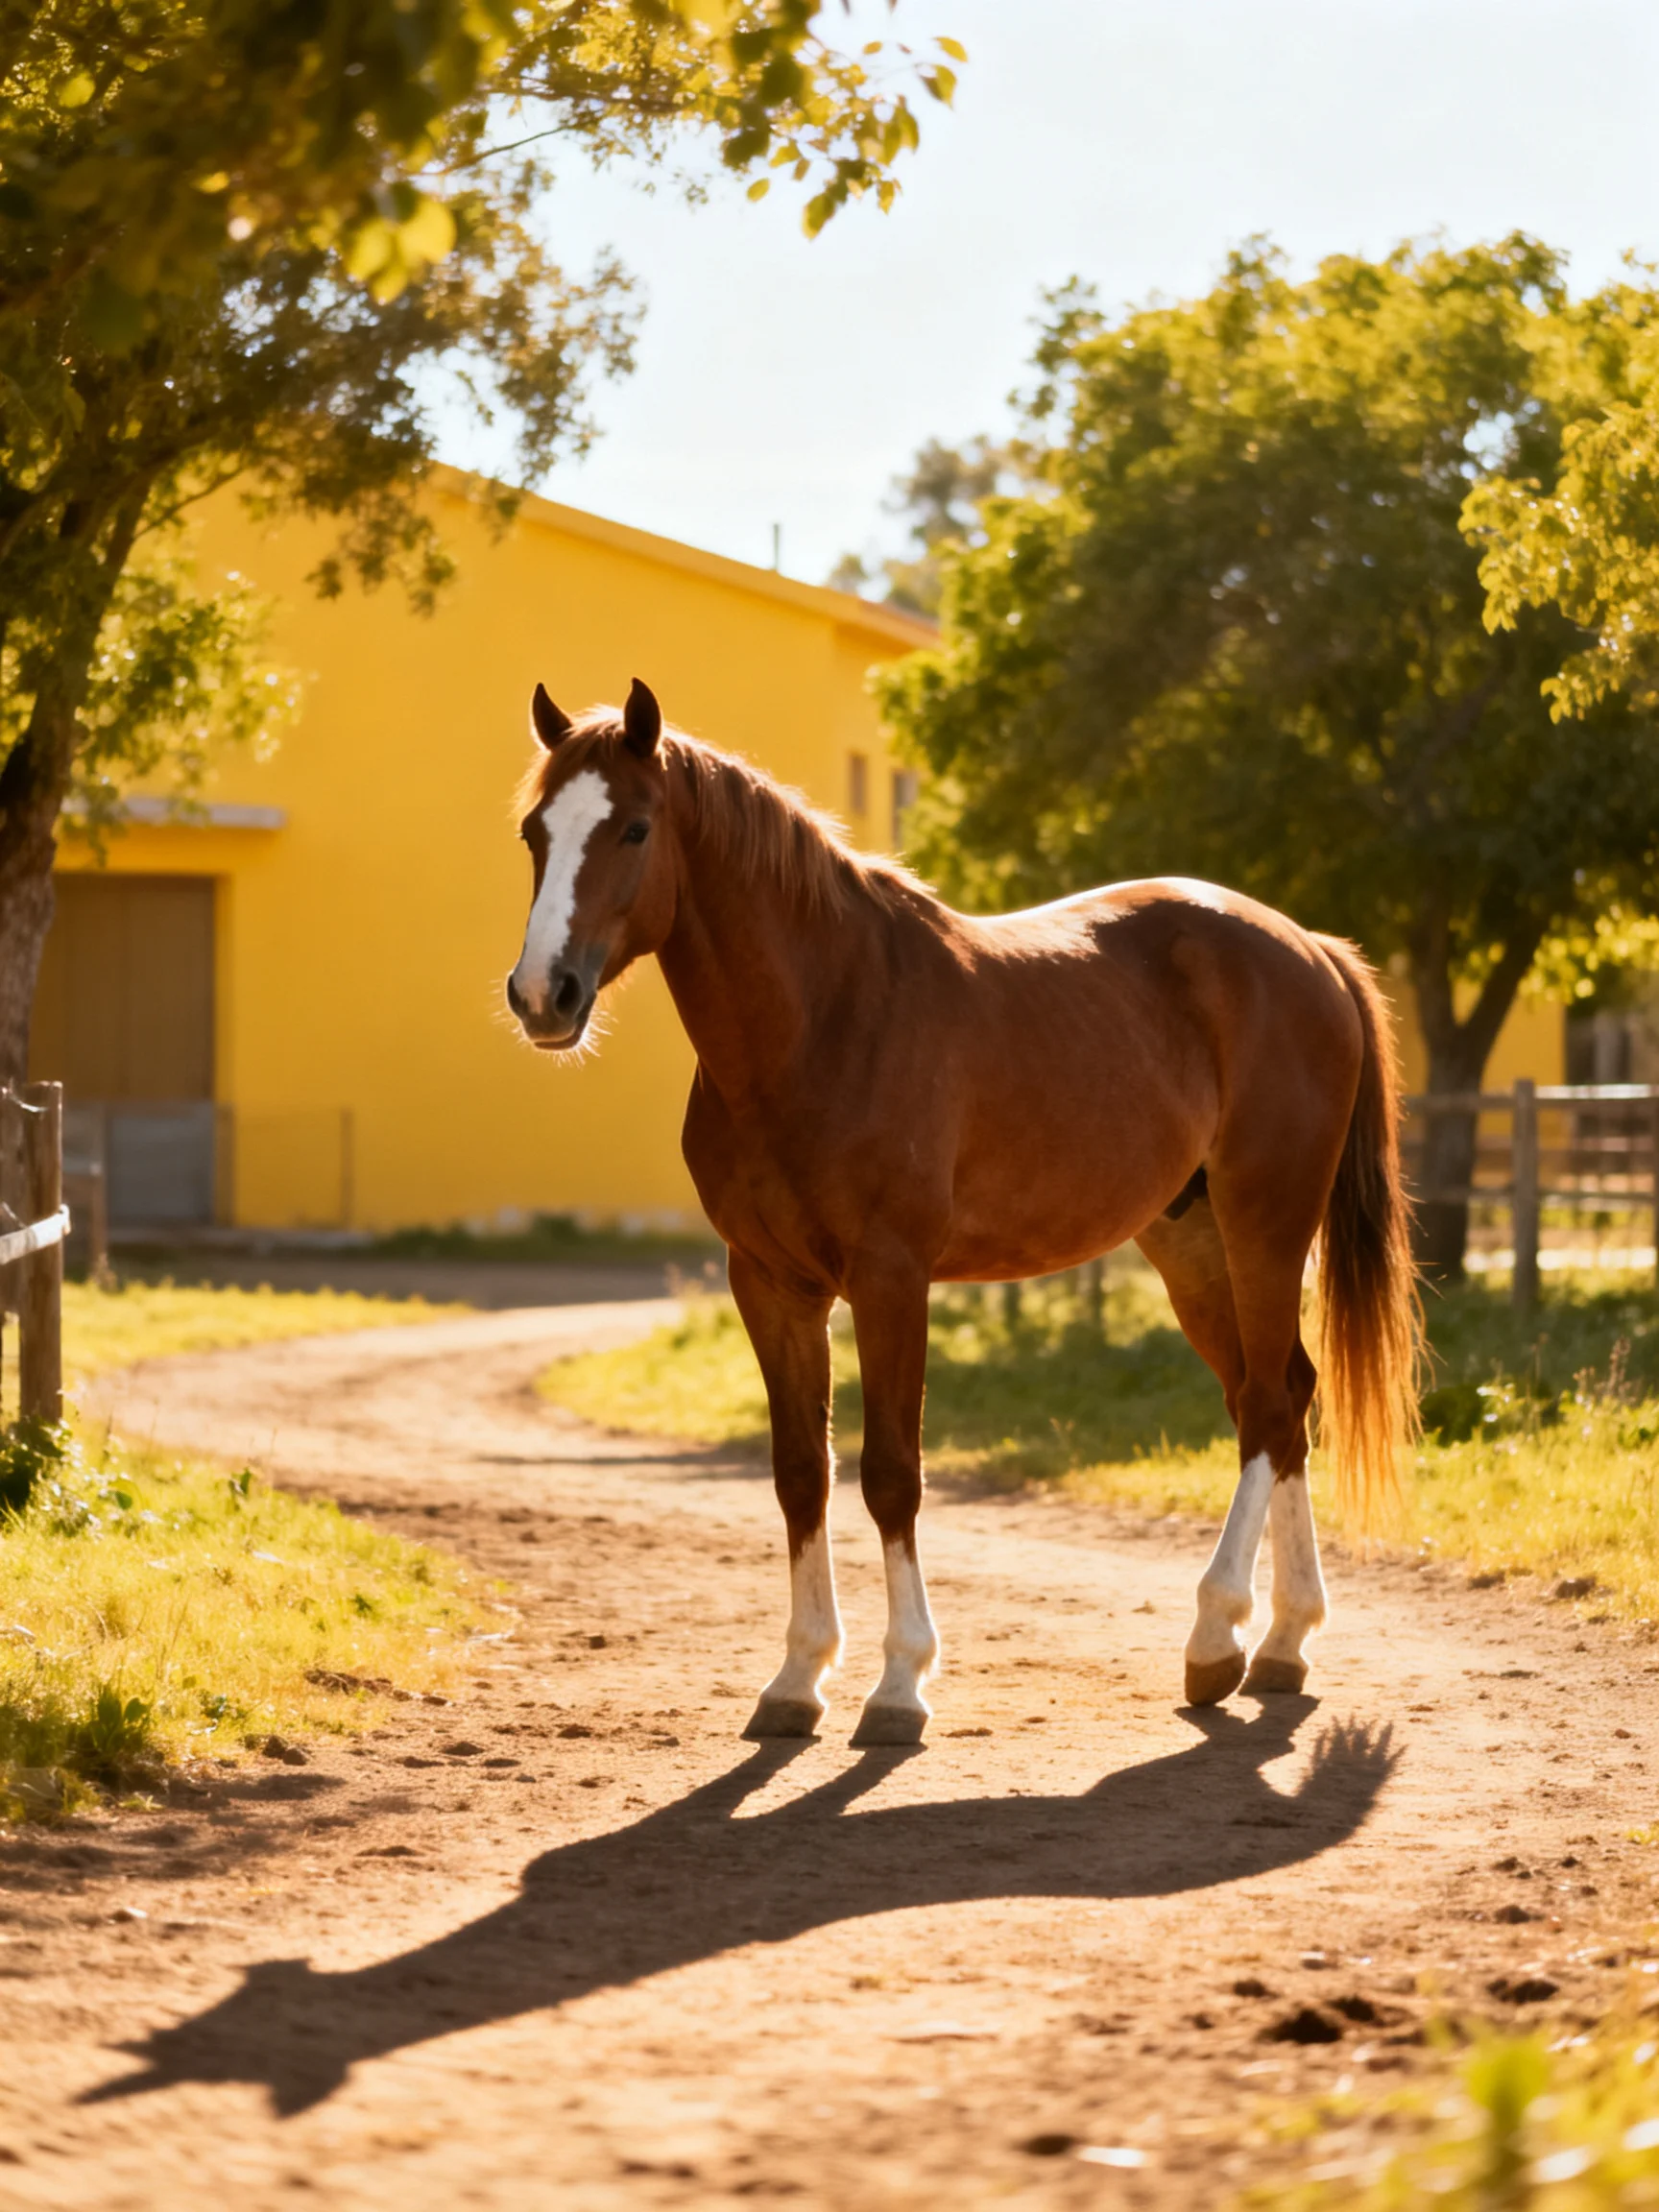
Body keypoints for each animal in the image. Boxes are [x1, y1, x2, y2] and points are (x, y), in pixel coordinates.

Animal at [505, 678, 1419, 1745]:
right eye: (535, 830)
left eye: (636, 827)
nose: (542, 995)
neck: (823, 1022)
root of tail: (1311, 950)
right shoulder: (771, 1284)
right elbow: (799, 1473)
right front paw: (798, 1677)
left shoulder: (892, 1279)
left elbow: (891, 1473)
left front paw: (900, 1684)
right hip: (1191, 1244)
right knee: (1278, 1402)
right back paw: (1281, 1641)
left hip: (1265, 1223)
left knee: (1273, 1406)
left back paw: (1215, 1637)